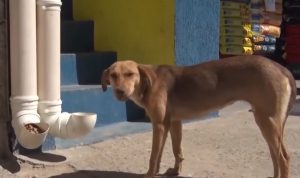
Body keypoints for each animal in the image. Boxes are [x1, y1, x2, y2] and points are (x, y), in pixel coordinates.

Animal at [100, 55, 296, 177]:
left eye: (130, 74)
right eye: (113, 75)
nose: (120, 92)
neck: (148, 82)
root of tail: (281, 67)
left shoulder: (159, 124)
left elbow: (154, 155)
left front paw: (150, 174)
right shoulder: (173, 123)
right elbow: (175, 150)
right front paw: (175, 171)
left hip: (267, 120)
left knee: (284, 158)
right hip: (265, 121)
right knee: (275, 156)